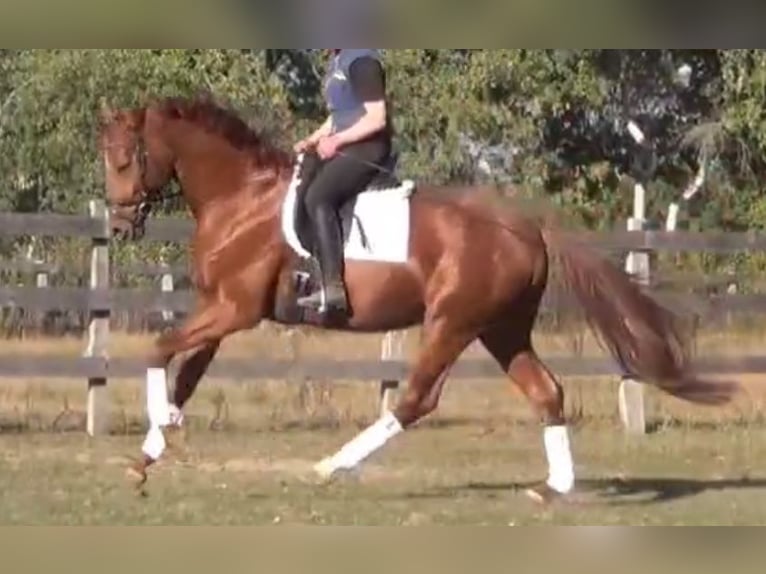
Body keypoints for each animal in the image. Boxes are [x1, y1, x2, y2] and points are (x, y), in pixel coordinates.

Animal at [98, 95, 738, 505]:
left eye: (125, 158)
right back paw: (553, 488)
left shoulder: (233, 309)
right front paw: (147, 455)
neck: (241, 198)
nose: (121, 225)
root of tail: (525, 228)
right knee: (547, 392)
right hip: (502, 329)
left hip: (452, 322)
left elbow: (158, 350)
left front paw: (157, 429)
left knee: (415, 400)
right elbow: (186, 373)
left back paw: (332, 465)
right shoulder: (221, 310)